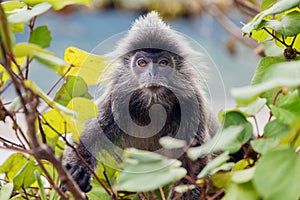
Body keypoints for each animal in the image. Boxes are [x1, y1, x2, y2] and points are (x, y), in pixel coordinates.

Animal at [62, 11, 218, 199]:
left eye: (163, 63)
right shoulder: (116, 100)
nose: (153, 73)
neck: (153, 104)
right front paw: (78, 171)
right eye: (142, 62)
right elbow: (87, 134)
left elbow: (194, 161)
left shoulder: (193, 103)